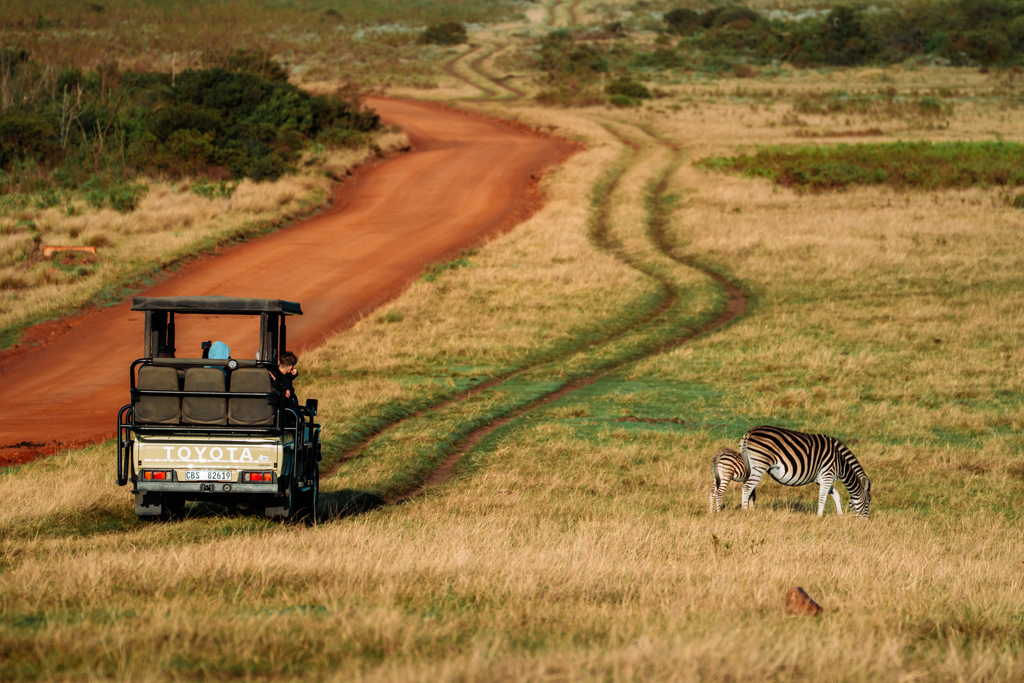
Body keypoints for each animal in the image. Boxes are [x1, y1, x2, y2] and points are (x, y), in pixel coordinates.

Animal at [739, 425, 872, 517]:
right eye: (868, 502)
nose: (865, 522)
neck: (841, 463)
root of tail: (749, 433)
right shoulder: (827, 475)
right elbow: (822, 499)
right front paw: (819, 517)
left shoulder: (824, 479)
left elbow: (836, 495)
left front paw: (840, 516)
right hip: (760, 464)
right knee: (747, 487)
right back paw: (745, 511)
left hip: (751, 465)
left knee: (750, 487)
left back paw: (752, 510)